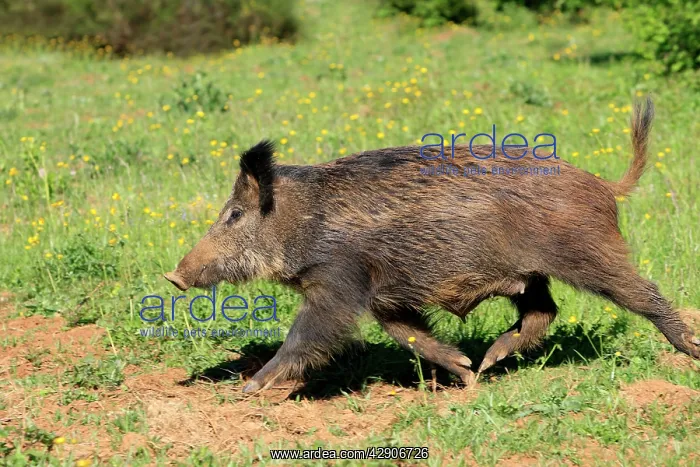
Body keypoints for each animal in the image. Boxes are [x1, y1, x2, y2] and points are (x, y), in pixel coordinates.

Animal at [165, 97, 699, 393]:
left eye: (234, 215)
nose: (173, 275)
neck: (307, 222)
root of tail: (604, 185)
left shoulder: (338, 282)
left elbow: (308, 335)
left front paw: (248, 390)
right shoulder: (384, 296)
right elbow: (409, 335)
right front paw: (464, 374)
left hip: (589, 254)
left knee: (643, 293)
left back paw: (689, 350)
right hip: (530, 275)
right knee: (543, 312)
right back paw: (489, 362)